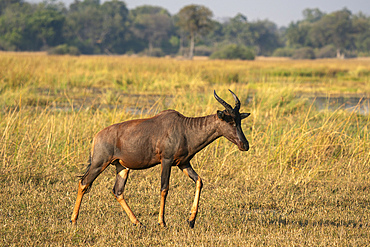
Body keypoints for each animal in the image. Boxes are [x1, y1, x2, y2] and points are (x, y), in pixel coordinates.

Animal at [71, 89, 250, 229]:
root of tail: (97, 136)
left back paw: (138, 223)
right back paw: (73, 220)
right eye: (230, 120)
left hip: (122, 167)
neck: (184, 127)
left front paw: (191, 220)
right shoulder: (167, 160)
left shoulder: (183, 163)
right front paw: (162, 222)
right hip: (99, 163)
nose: (245, 145)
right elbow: (164, 188)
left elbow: (199, 181)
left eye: (239, 120)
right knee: (83, 183)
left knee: (118, 191)